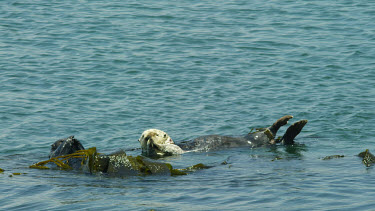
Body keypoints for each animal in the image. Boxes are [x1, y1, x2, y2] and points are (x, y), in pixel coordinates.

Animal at [139, 115, 308, 158]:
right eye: (144, 137)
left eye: (158, 133)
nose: (151, 137)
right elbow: (170, 150)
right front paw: (154, 145)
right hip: (261, 139)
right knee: (282, 138)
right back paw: (295, 125)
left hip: (257, 135)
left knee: (272, 131)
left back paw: (288, 121)